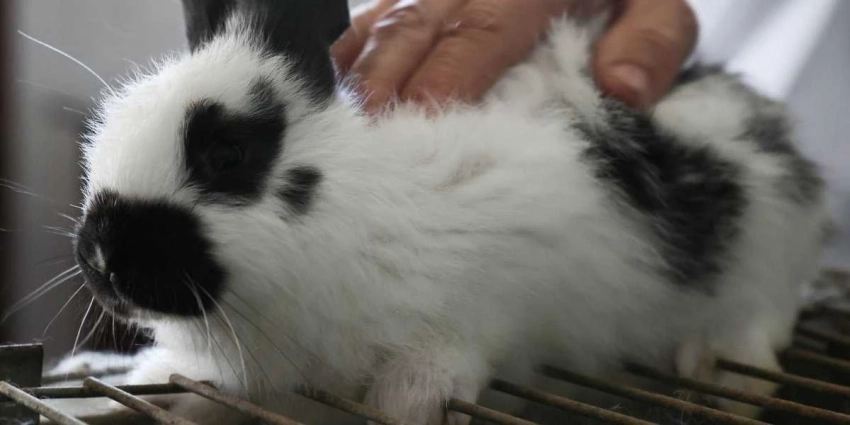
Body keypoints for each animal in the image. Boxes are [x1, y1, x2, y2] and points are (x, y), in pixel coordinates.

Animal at [62, 0, 830, 423]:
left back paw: (724, 372)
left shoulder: (509, 270)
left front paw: (407, 401)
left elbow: (453, 349)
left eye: (226, 153)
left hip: (763, 253)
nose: (100, 256)